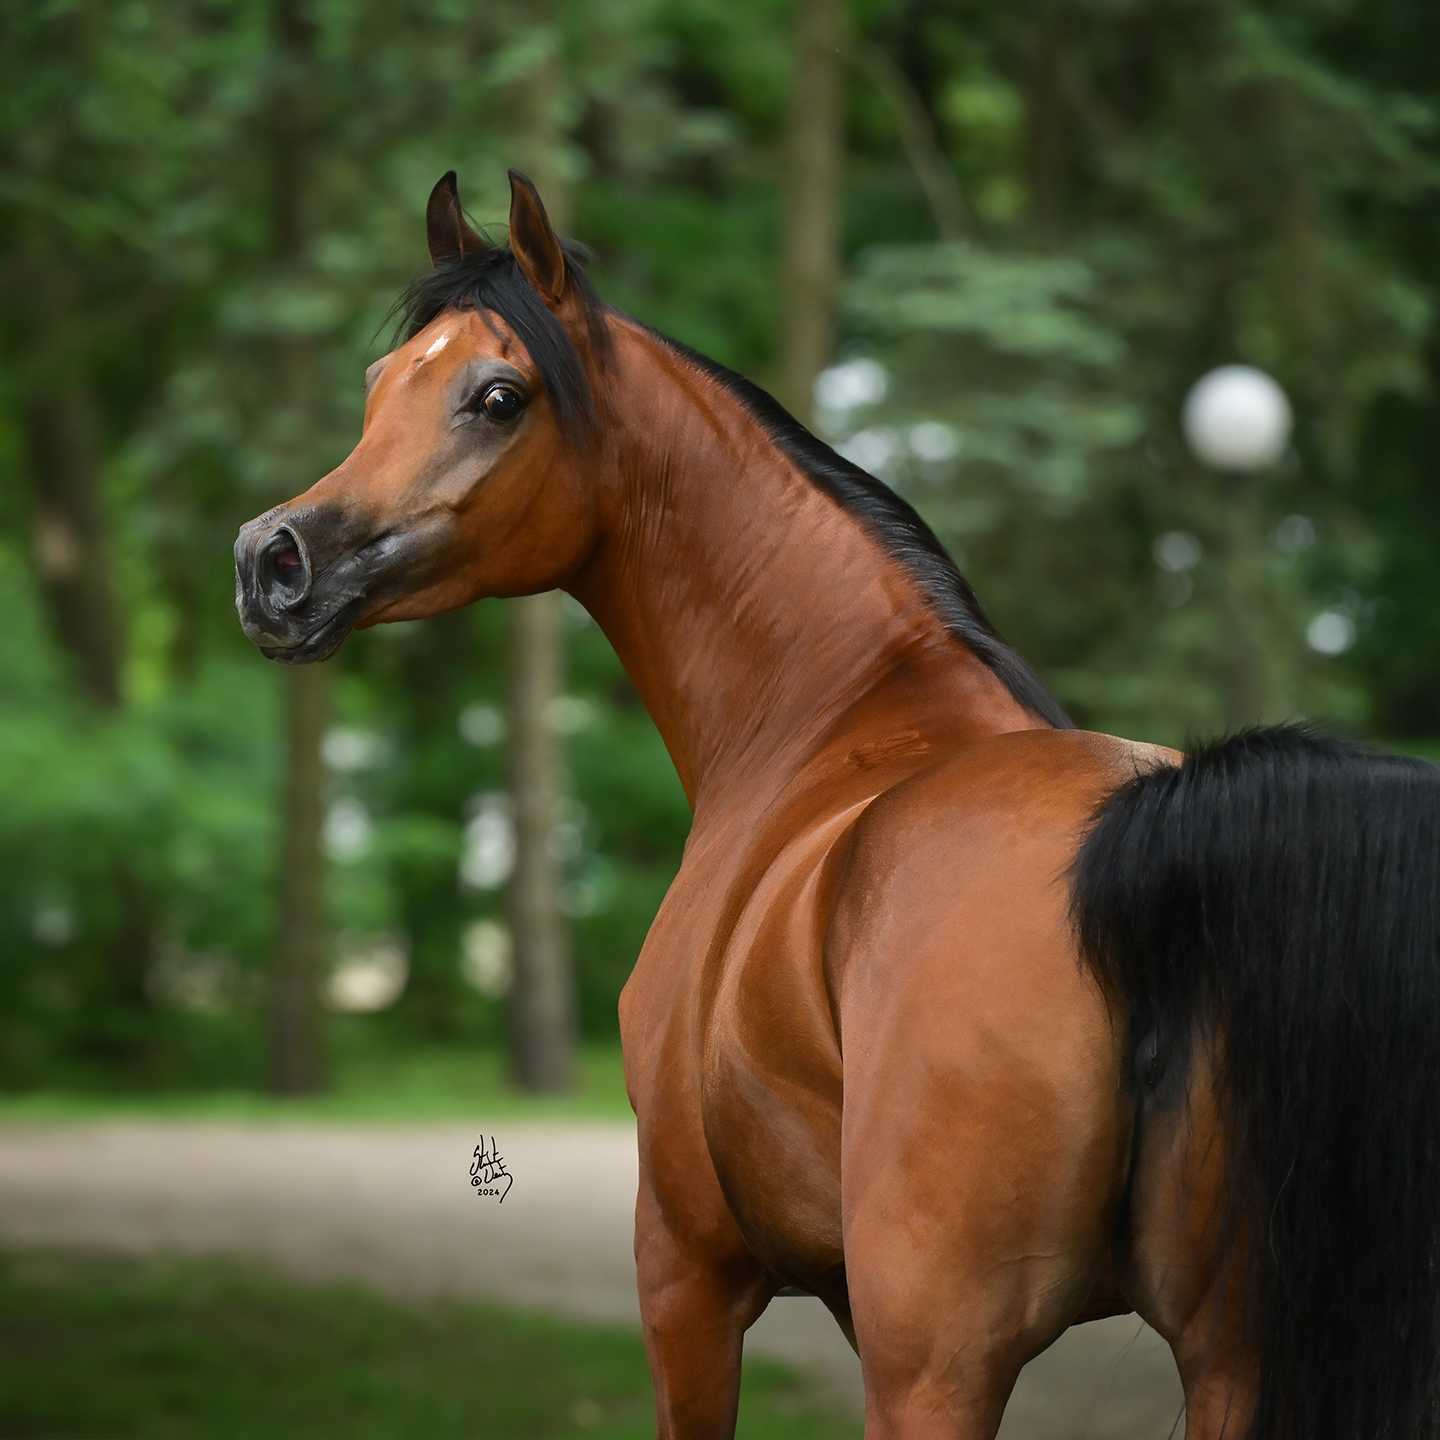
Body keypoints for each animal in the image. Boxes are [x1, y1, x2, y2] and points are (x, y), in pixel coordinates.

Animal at [235, 170, 1440, 1439]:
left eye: (497, 395)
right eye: (381, 383)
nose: (271, 560)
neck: (834, 723)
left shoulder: (686, 1272)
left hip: (934, 1362)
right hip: (1224, 1362)